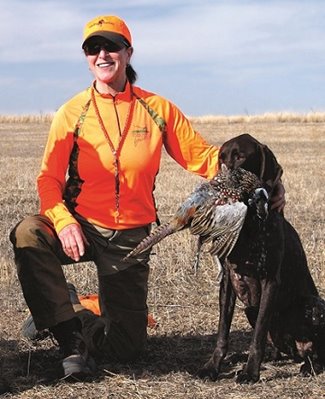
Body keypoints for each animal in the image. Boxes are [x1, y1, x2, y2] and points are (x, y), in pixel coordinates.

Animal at [197, 134, 324, 384]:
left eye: (241, 156)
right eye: (222, 157)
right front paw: (213, 366)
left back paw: (308, 366)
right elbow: (222, 333)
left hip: (313, 305)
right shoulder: (228, 280)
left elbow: (257, 336)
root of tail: (297, 351)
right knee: (277, 349)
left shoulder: (270, 281)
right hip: (250, 309)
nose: (218, 182)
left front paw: (250, 373)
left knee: (316, 352)